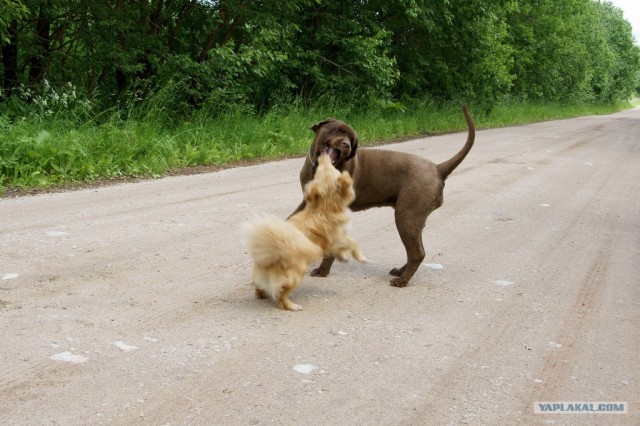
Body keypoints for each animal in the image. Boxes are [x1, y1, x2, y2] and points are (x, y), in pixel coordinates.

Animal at [245, 153, 364, 310]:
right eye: (327, 168)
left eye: (320, 170)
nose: (323, 155)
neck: (324, 207)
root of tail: (270, 257)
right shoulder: (338, 238)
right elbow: (353, 243)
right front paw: (361, 257)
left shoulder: (334, 243)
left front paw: (343, 257)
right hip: (296, 275)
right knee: (281, 297)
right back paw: (292, 306)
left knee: (260, 287)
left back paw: (261, 294)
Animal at [292, 105, 472, 288]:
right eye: (337, 130)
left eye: (352, 140)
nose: (346, 144)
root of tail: (437, 168)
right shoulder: (307, 201)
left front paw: (322, 271)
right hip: (415, 218)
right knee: (418, 248)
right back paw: (400, 271)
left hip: (406, 215)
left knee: (417, 252)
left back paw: (402, 280)